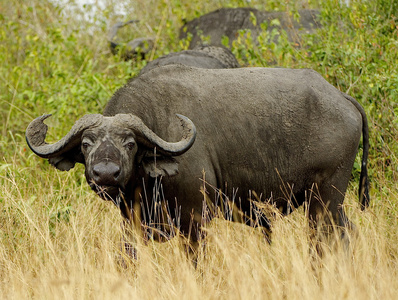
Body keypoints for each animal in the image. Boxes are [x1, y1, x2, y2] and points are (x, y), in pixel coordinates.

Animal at [25, 67, 370, 250]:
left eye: (130, 144)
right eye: (86, 144)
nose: (105, 174)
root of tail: (341, 97)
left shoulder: (195, 220)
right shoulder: (132, 223)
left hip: (324, 201)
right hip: (329, 204)